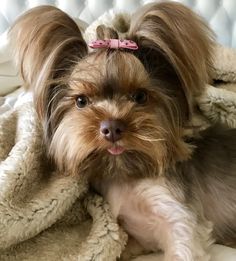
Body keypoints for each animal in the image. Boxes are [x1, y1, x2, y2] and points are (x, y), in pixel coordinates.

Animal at [9, 2, 236, 260]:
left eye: (140, 96)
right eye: (81, 101)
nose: (112, 128)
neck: (125, 174)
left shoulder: (179, 218)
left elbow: (183, 242)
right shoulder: (137, 237)